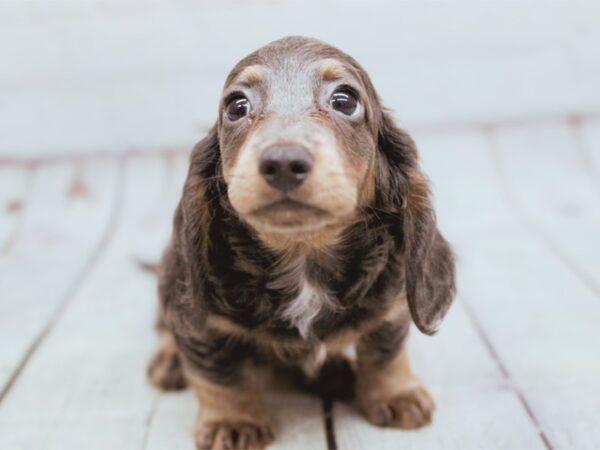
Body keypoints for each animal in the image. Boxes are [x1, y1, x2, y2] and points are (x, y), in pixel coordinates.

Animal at [149, 36, 454, 450]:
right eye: (236, 106)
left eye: (345, 100)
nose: (282, 162)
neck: (303, 253)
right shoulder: (205, 324)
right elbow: (218, 372)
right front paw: (233, 420)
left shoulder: (388, 302)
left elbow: (384, 349)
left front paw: (396, 393)